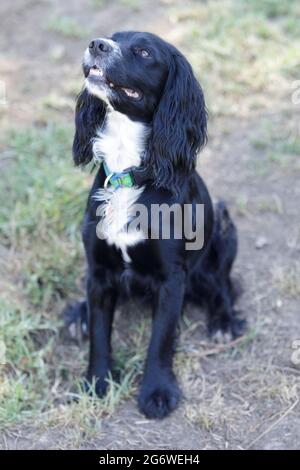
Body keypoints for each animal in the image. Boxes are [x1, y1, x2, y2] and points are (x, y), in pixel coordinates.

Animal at [70, 30, 246, 418]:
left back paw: (224, 322)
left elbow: (161, 339)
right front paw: (97, 383)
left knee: (223, 284)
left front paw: (157, 391)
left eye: (144, 52)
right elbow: (100, 335)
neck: (129, 171)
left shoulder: (172, 278)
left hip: (226, 227)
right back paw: (77, 314)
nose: (96, 44)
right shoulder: (98, 271)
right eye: (112, 37)